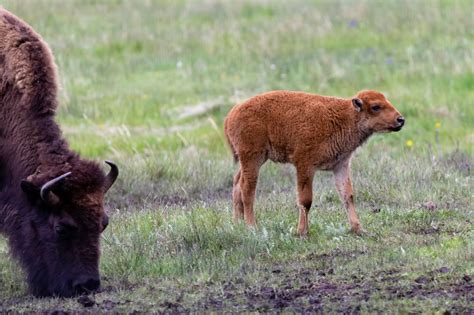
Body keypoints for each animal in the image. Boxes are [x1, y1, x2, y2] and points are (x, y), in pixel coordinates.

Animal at [224, 90, 406, 236]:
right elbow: (306, 200)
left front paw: (359, 229)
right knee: (247, 189)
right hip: (252, 158)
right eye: (376, 106)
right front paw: (302, 232)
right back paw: (251, 227)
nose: (400, 119)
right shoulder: (305, 165)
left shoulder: (340, 166)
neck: (346, 117)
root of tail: (231, 114)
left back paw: (237, 224)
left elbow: (347, 196)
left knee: (237, 183)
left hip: (254, 159)